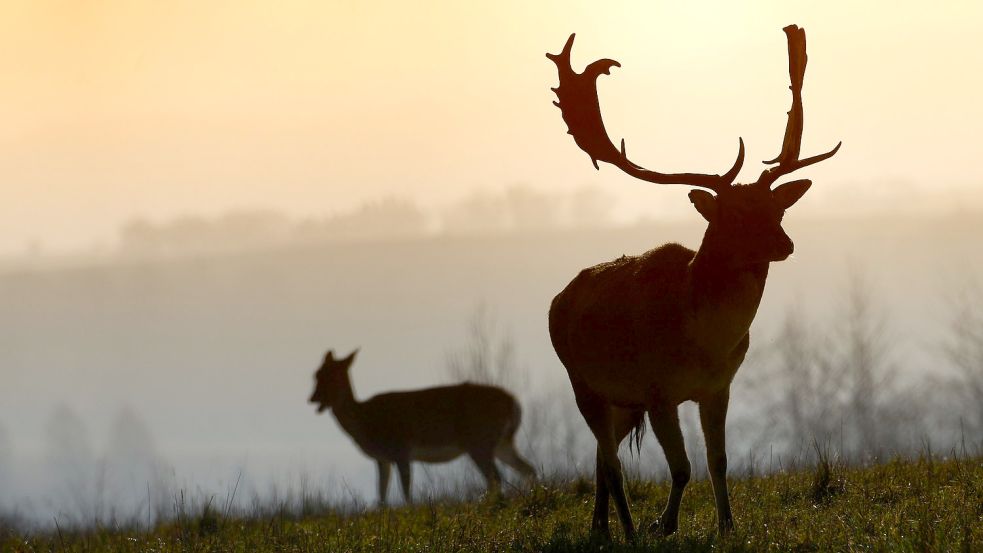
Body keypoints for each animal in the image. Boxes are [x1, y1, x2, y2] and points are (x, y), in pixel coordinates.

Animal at [310, 350, 536, 504]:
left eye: (331, 375)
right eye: (316, 373)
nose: (313, 398)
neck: (365, 423)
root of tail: (514, 403)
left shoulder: (401, 449)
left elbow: (406, 492)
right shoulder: (382, 458)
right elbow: (381, 495)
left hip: (479, 441)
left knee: (496, 478)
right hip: (502, 443)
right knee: (527, 468)